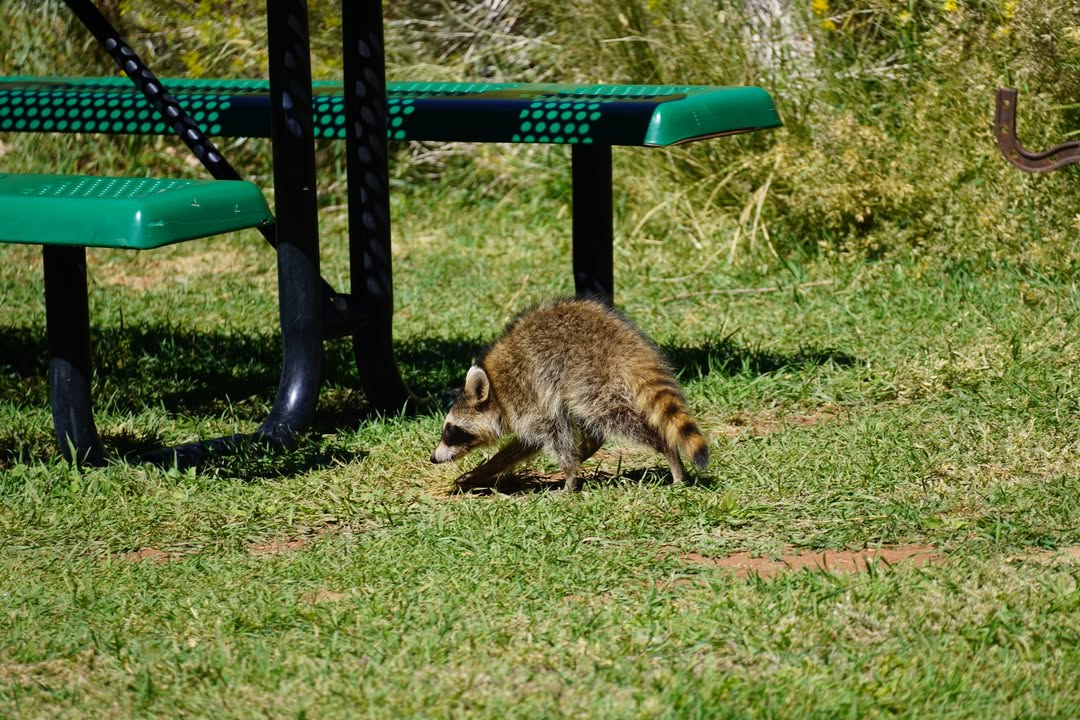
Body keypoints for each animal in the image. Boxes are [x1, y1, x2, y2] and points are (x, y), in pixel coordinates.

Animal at [430, 297, 710, 491]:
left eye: (451, 430)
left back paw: (666, 449)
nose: (433, 458)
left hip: (588, 378)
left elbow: (553, 434)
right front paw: (481, 472)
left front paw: (569, 477)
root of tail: (625, 346)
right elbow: (525, 445)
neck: (496, 393)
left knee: (614, 418)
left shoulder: (528, 396)